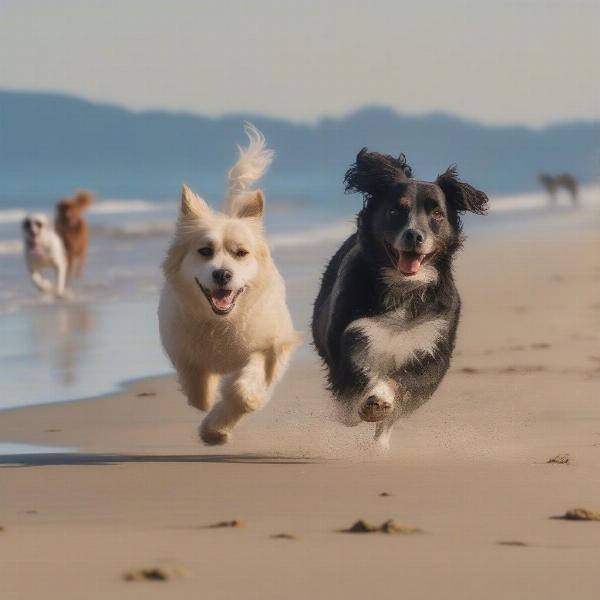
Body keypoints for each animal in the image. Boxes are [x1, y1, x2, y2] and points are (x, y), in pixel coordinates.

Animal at [159, 123, 300, 446]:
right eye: (205, 251)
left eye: (241, 253)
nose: (222, 274)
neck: (221, 322)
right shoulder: (181, 347)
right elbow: (196, 386)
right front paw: (208, 401)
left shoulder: (273, 346)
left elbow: (244, 392)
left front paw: (216, 428)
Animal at [312, 150, 490, 448]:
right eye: (396, 210)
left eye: (437, 214)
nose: (414, 235)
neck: (405, 289)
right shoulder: (356, 331)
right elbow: (359, 373)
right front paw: (372, 400)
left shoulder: (432, 345)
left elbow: (406, 382)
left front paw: (381, 400)